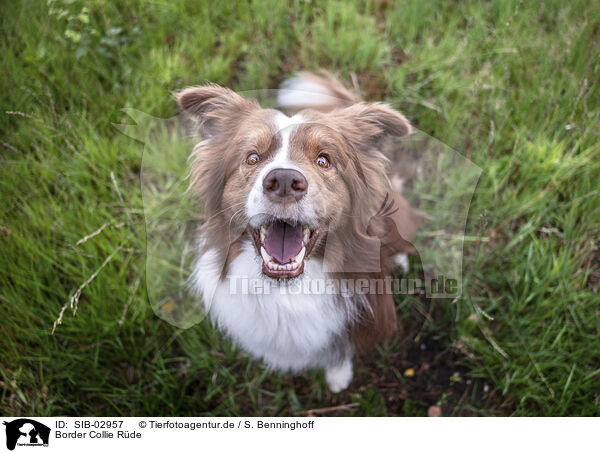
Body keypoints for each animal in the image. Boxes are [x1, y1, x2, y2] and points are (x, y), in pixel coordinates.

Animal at [177, 70, 422, 392]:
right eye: (252, 158)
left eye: (323, 160)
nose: (283, 181)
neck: (288, 290)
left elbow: (341, 349)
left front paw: (338, 377)